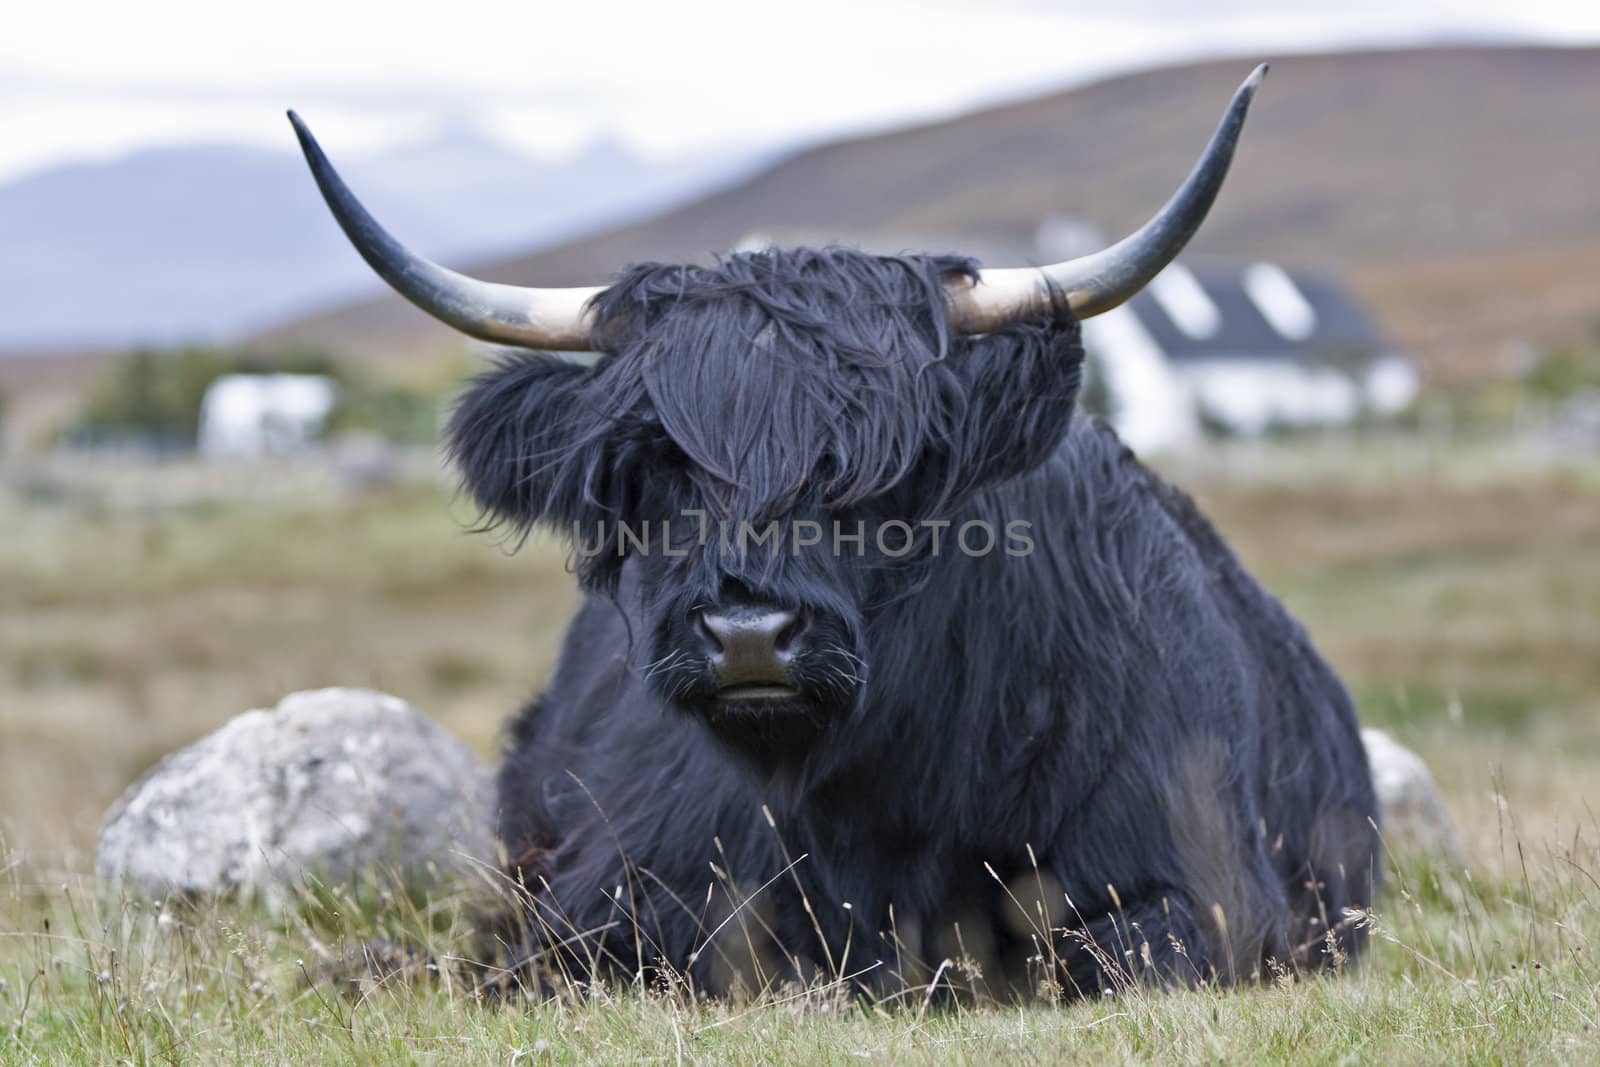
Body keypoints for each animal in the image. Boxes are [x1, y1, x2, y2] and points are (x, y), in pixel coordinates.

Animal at [294, 68, 1382, 1004]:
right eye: (659, 458)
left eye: (882, 466)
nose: (748, 637)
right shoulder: (612, 887)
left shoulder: (1196, 888)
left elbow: (1133, 954)